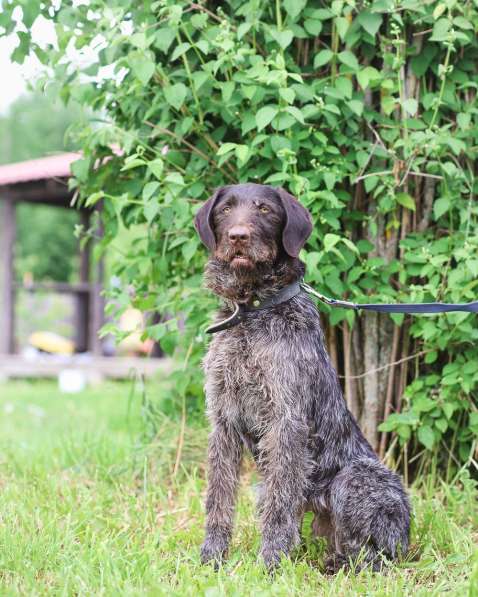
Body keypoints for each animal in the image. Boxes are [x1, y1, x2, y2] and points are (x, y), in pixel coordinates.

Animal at [192, 184, 408, 572]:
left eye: (264, 209)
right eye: (225, 209)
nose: (238, 236)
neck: (252, 311)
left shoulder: (286, 421)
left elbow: (280, 507)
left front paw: (271, 564)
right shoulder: (223, 422)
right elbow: (219, 496)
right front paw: (212, 558)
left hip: (355, 480)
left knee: (374, 556)